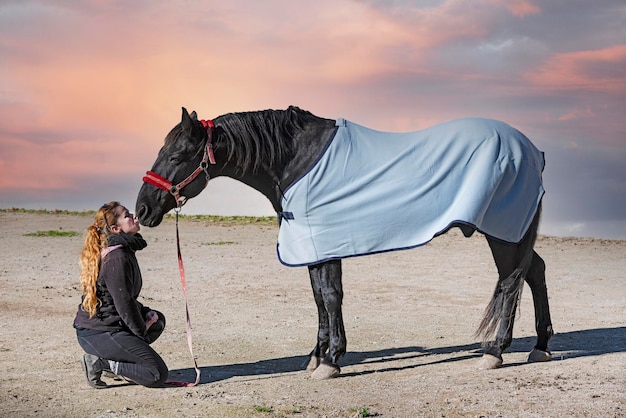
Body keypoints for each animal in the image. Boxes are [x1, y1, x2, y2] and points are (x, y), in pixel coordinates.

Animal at [135, 107, 552, 378]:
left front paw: (332, 360)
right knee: (534, 271)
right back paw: (540, 346)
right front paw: (317, 356)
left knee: (511, 282)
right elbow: (319, 297)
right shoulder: (313, 246)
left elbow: (331, 295)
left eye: (177, 154)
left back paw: (495, 351)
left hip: (502, 232)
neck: (296, 161)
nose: (142, 209)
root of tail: (533, 151)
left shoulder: (325, 241)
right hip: (513, 232)